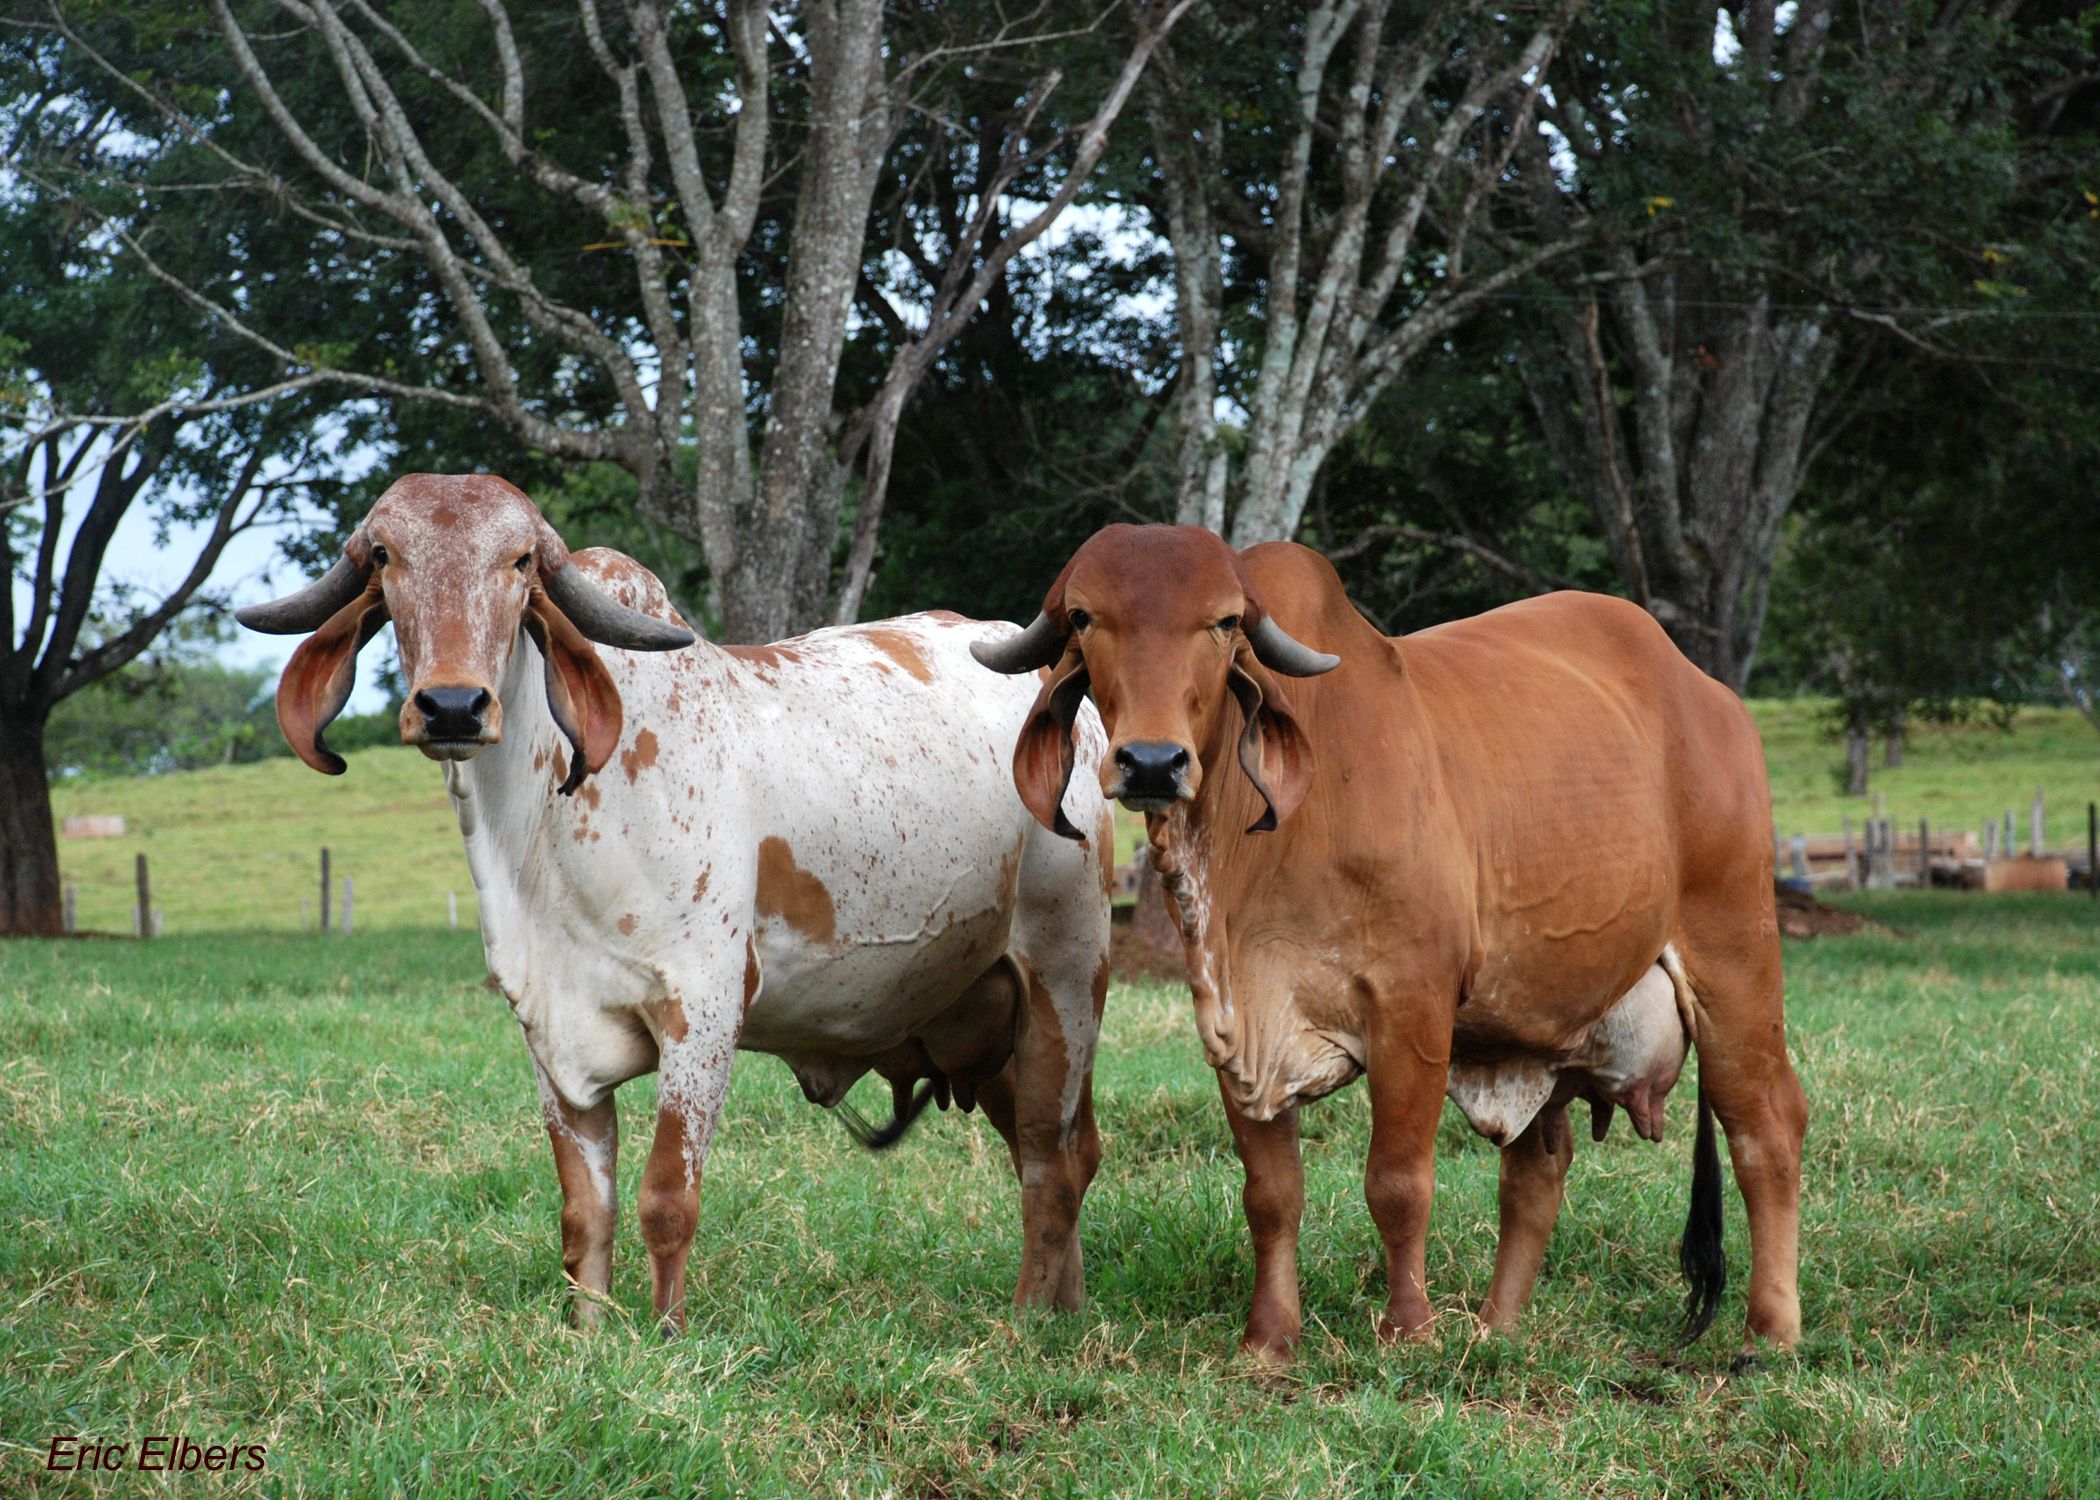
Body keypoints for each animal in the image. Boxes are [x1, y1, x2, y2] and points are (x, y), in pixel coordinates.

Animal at [239, 474, 1114, 1330]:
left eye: (520, 562)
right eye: (386, 556)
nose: (452, 706)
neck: (551, 825)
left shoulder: (702, 1008)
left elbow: (667, 1200)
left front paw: (667, 1335)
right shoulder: (548, 1029)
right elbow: (585, 1212)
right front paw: (589, 1333)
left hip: (1064, 982)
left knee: (1053, 1158)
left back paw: (1030, 1324)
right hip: (985, 1015)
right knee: (1057, 1155)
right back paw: (1067, 1310)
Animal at [974, 524, 1805, 1363]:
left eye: (1224, 621)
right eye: (1084, 618)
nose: (1152, 762)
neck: (1268, 840)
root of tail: (1709, 694)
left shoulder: (1411, 1007)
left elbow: (1397, 1183)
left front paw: (1409, 1330)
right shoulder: (1236, 1021)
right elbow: (1271, 1194)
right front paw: (1268, 1343)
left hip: (1734, 953)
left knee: (1766, 1126)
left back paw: (1771, 1330)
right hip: (1544, 1024)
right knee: (1537, 1168)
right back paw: (1496, 1329)